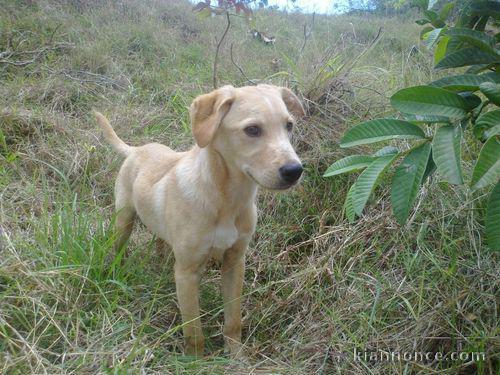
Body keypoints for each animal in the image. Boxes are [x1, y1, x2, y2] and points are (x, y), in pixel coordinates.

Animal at [94, 84, 304, 358]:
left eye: (289, 125)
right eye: (252, 129)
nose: (295, 171)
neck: (226, 199)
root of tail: (138, 149)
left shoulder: (235, 263)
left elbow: (233, 319)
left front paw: (236, 356)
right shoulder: (187, 273)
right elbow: (193, 330)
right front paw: (195, 360)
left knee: (161, 240)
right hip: (123, 221)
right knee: (118, 245)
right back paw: (115, 269)